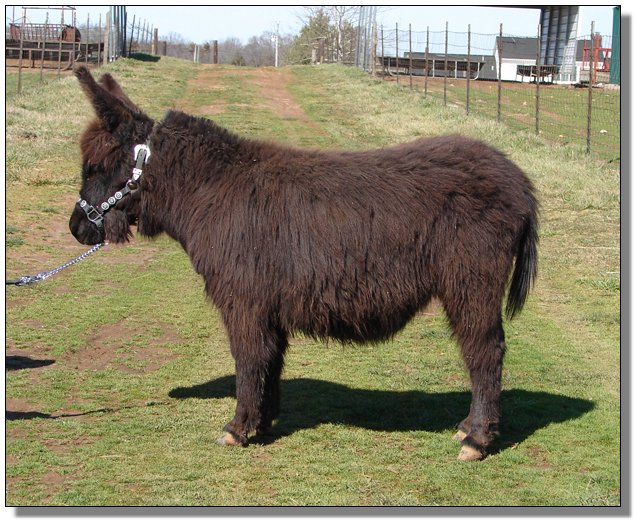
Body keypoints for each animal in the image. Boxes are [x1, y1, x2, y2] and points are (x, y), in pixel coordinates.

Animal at [69, 66, 538, 461]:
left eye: (94, 167)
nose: (76, 228)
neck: (209, 191)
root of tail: (517, 178)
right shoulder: (267, 307)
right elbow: (270, 363)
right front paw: (262, 424)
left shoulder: (244, 302)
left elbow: (248, 360)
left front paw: (237, 428)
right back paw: (466, 427)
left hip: (471, 284)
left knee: (484, 352)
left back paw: (477, 439)